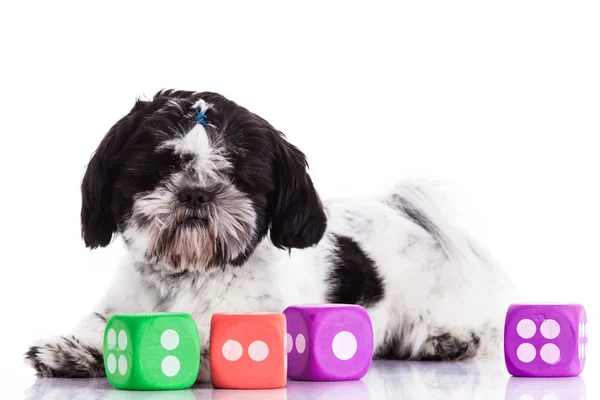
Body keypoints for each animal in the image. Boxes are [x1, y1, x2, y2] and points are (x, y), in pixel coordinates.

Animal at [24, 89, 510, 380]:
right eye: (163, 167)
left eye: (234, 172)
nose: (196, 192)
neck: (190, 275)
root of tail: (406, 213)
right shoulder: (121, 308)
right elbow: (102, 329)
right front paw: (72, 352)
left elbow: (203, 346)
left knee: (484, 332)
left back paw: (450, 340)